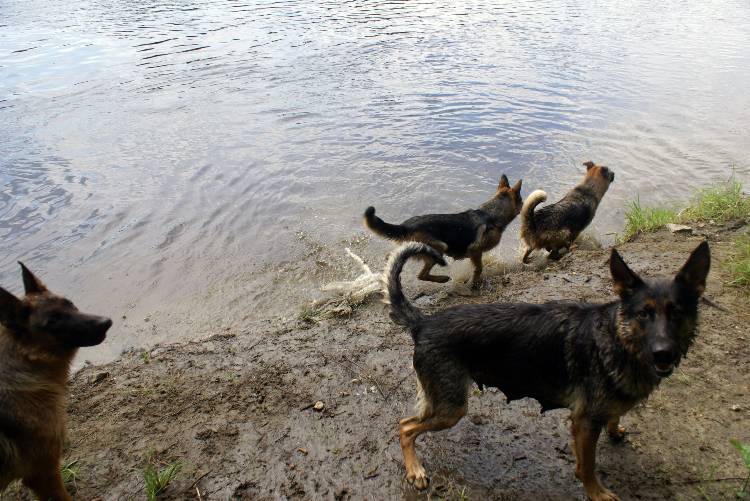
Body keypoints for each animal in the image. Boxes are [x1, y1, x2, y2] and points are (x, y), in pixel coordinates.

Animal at [364, 174, 524, 288]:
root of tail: (406, 226)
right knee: (421, 275)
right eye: (521, 200)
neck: (491, 215)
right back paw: (442, 279)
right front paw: (473, 283)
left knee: (392, 256)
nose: (524, 206)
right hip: (439, 248)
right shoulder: (475, 250)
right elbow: (479, 268)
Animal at [388, 240, 712, 498]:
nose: (664, 353)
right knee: (405, 427)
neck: (616, 338)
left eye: (677, 313)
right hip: (452, 407)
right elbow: (587, 466)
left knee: (408, 423)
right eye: (644, 314)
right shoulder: (583, 422)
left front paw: (616, 429)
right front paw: (597, 493)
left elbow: (614, 416)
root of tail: (424, 322)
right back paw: (415, 470)